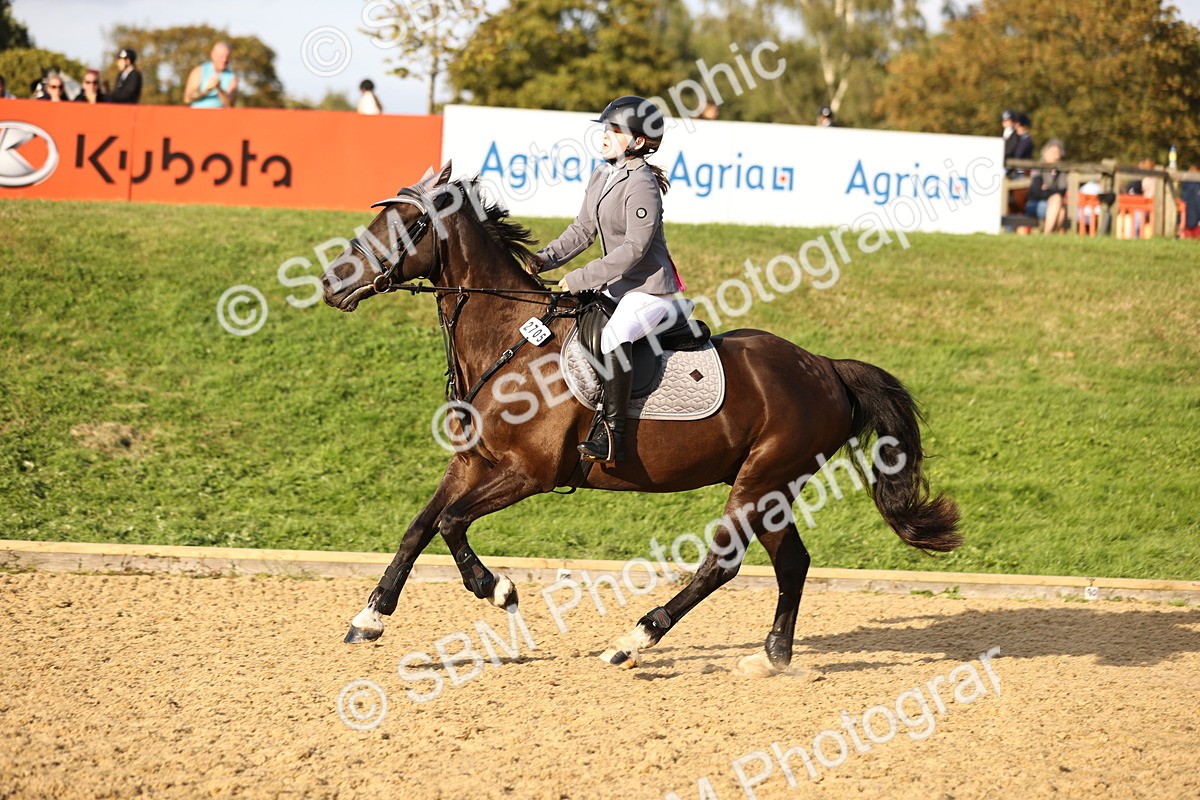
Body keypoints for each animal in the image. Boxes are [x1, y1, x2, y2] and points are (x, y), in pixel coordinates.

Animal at [320, 163, 961, 676]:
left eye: (404, 227)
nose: (329, 283)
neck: (510, 341)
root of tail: (825, 368)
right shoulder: (474, 463)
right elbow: (419, 527)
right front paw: (370, 618)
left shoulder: (529, 473)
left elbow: (452, 523)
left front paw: (498, 589)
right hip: (772, 488)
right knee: (793, 563)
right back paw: (772, 656)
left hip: (761, 481)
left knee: (723, 563)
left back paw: (635, 639)